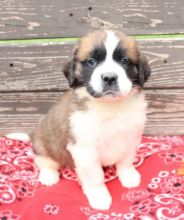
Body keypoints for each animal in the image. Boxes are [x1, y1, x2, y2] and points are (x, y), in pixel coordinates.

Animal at [32, 29, 151, 210]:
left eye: (124, 61)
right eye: (91, 62)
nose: (109, 77)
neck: (110, 107)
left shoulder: (131, 137)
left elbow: (126, 160)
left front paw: (129, 176)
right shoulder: (85, 150)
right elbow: (95, 176)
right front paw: (99, 196)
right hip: (42, 145)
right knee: (44, 162)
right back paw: (49, 176)